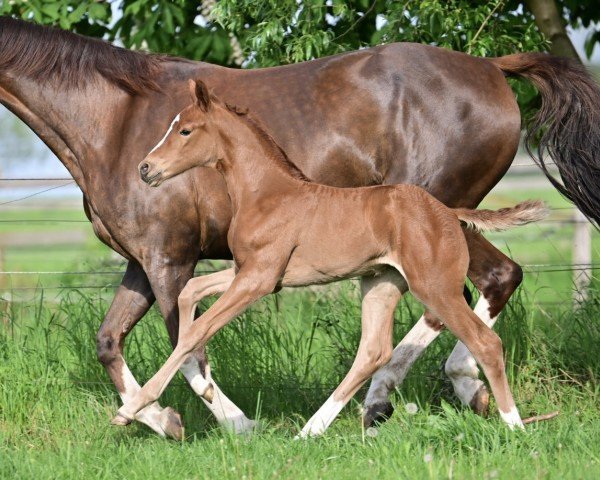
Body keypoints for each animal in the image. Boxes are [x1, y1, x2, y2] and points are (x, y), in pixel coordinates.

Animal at [113, 81, 548, 436]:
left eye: (185, 130)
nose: (146, 168)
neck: (265, 192)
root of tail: (446, 212)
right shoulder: (248, 271)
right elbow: (189, 295)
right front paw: (201, 384)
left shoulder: (258, 279)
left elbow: (200, 328)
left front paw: (132, 410)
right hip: (381, 283)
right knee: (373, 352)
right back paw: (310, 431)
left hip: (434, 286)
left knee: (485, 341)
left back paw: (515, 426)